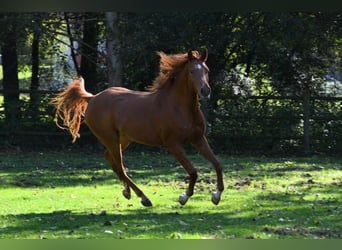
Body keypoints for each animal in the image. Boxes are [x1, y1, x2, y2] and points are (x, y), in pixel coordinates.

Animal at [49, 49, 223, 207]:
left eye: (207, 70)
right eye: (192, 71)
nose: (205, 90)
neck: (180, 107)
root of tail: (93, 98)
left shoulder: (198, 139)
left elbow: (217, 164)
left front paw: (216, 195)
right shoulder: (174, 144)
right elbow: (193, 172)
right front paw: (184, 197)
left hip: (123, 139)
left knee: (111, 160)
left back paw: (127, 192)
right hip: (110, 139)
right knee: (120, 167)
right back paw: (144, 198)